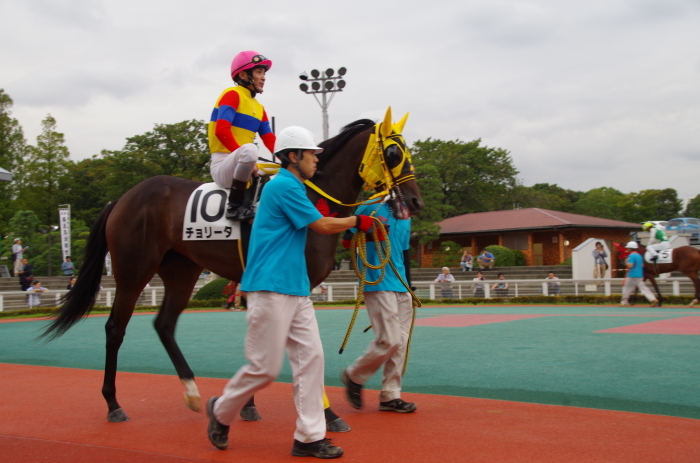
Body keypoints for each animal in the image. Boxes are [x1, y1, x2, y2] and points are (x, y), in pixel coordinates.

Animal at [41, 109, 424, 424]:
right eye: (394, 153)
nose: (416, 201)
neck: (313, 194)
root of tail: (122, 198)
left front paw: (247, 405)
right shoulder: (293, 284)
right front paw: (324, 414)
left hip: (182, 271)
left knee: (164, 325)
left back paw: (192, 393)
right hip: (133, 271)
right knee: (115, 328)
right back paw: (113, 404)